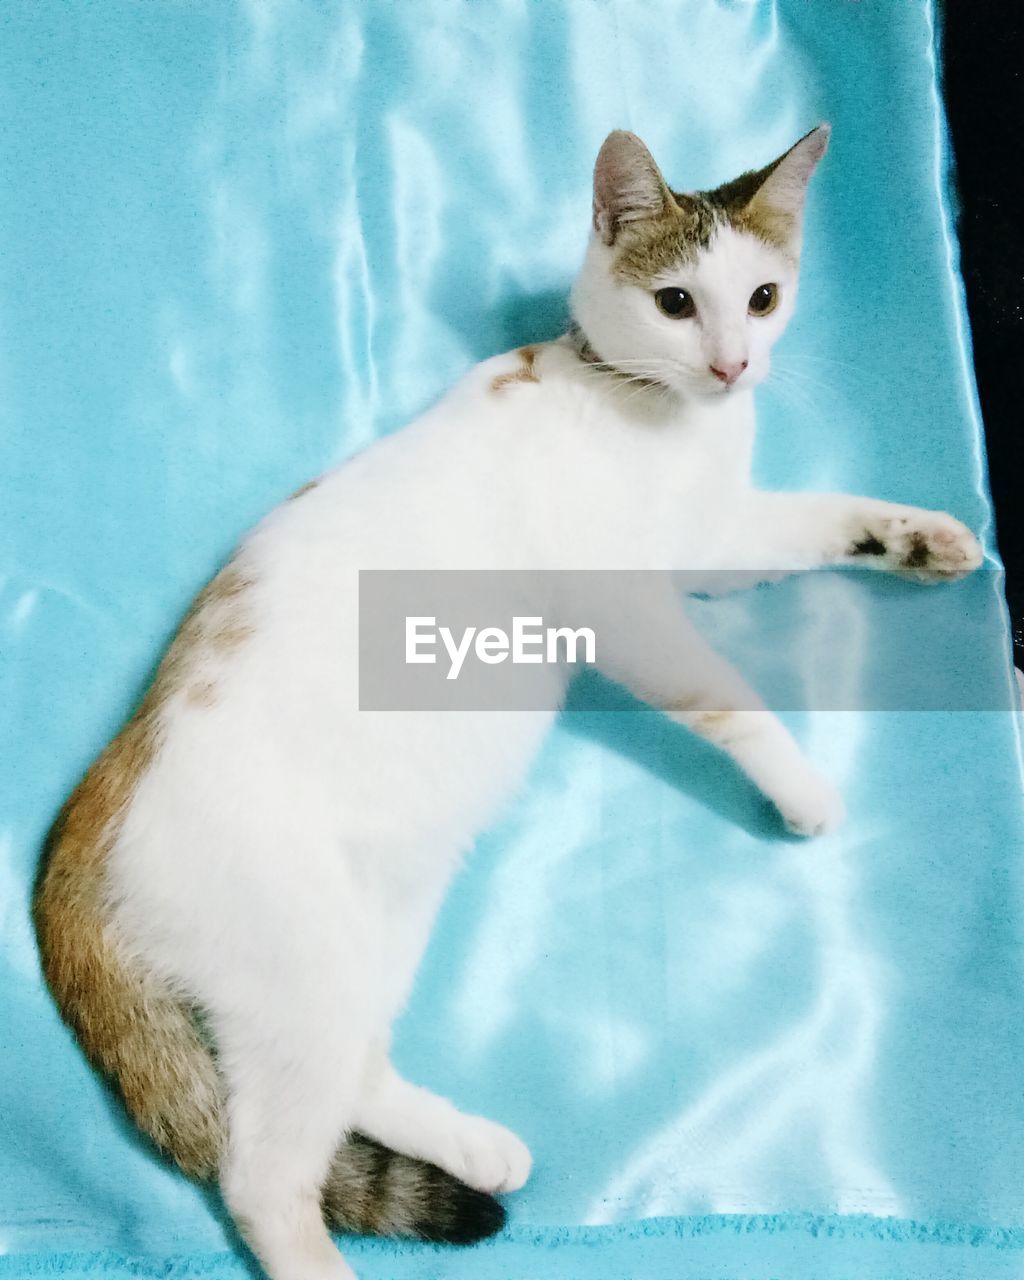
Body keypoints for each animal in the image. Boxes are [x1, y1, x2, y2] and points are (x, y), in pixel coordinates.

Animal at [33, 122, 983, 1280]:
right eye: (676, 302)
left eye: (761, 297)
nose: (733, 365)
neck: (652, 411)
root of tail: (88, 813)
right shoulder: (623, 608)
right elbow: (724, 697)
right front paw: (801, 788)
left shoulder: (711, 544)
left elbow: (813, 519)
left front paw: (918, 537)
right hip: (301, 964)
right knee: (259, 1175)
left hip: (371, 934)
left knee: (348, 1076)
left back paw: (473, 1144)